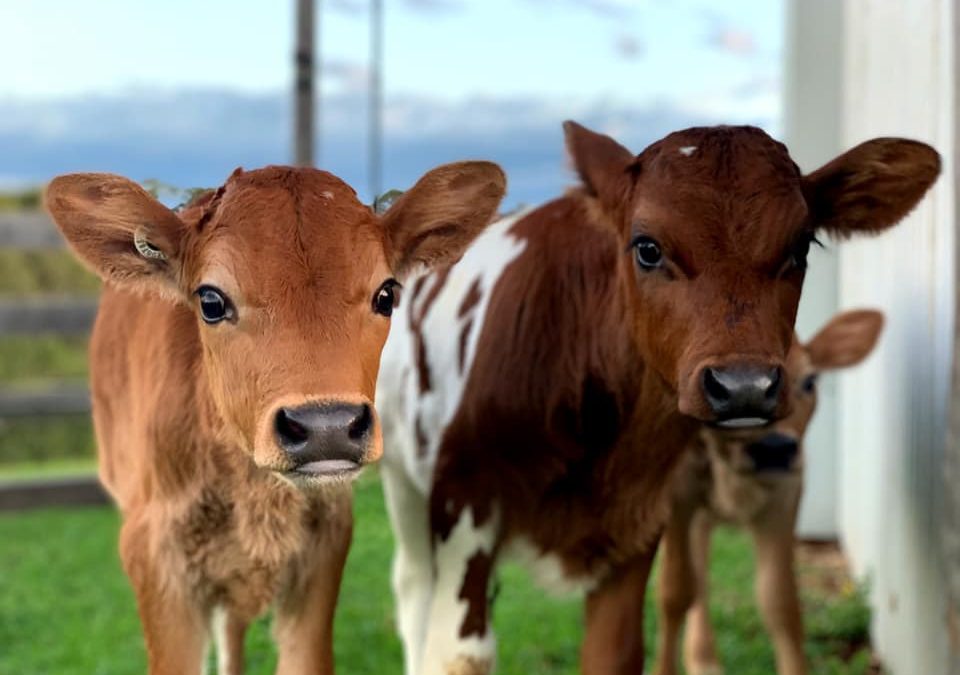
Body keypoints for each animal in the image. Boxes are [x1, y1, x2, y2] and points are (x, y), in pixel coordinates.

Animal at [652, 309, 884, 675]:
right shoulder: (677, 494)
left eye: (810, 381)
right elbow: (673, 592)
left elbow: (780, 601)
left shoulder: (786, 494)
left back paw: (704, 659)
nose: (774, 448)